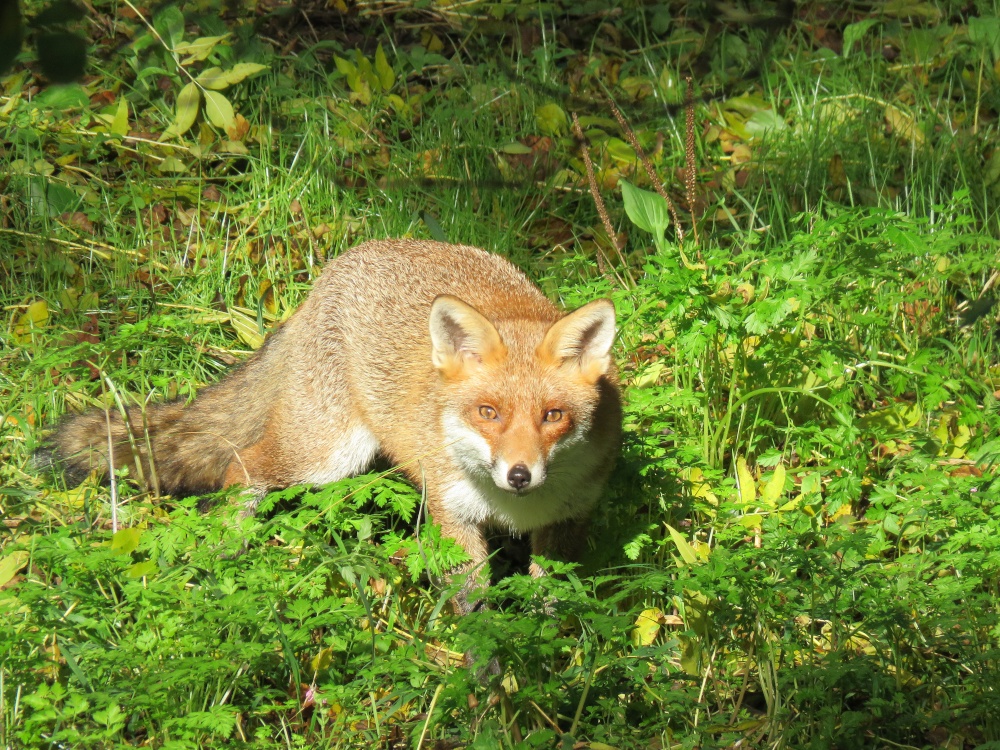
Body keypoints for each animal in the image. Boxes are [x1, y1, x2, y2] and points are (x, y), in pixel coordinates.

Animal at [50, 241, 624, 616]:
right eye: (489, 413)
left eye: (552, 416)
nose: (519, 475)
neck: (515, 509)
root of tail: (339, 264)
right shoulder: (452, 513)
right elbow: (472, 606)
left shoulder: (570, 520)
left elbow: (551, 601)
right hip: (324, 455)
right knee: (243, 465)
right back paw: (230, 544)